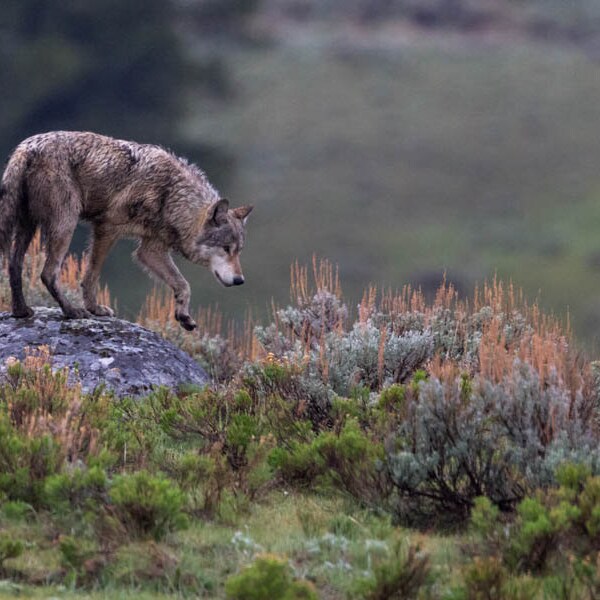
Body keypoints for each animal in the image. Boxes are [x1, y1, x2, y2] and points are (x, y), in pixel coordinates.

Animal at [0, 131, 252, 330]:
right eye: (226, 248)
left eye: (238, 251)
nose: (240, 280)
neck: (171, 193)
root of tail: (27, 148)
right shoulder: (107, 230)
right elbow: (91, 276)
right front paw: (93, 308)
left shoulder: (150, 250)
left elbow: (183, 284)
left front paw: (183, 317)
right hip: (65, 226)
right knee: (48, 273)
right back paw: (71, 311)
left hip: (28, 226)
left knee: (14, 264)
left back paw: (21, 311)